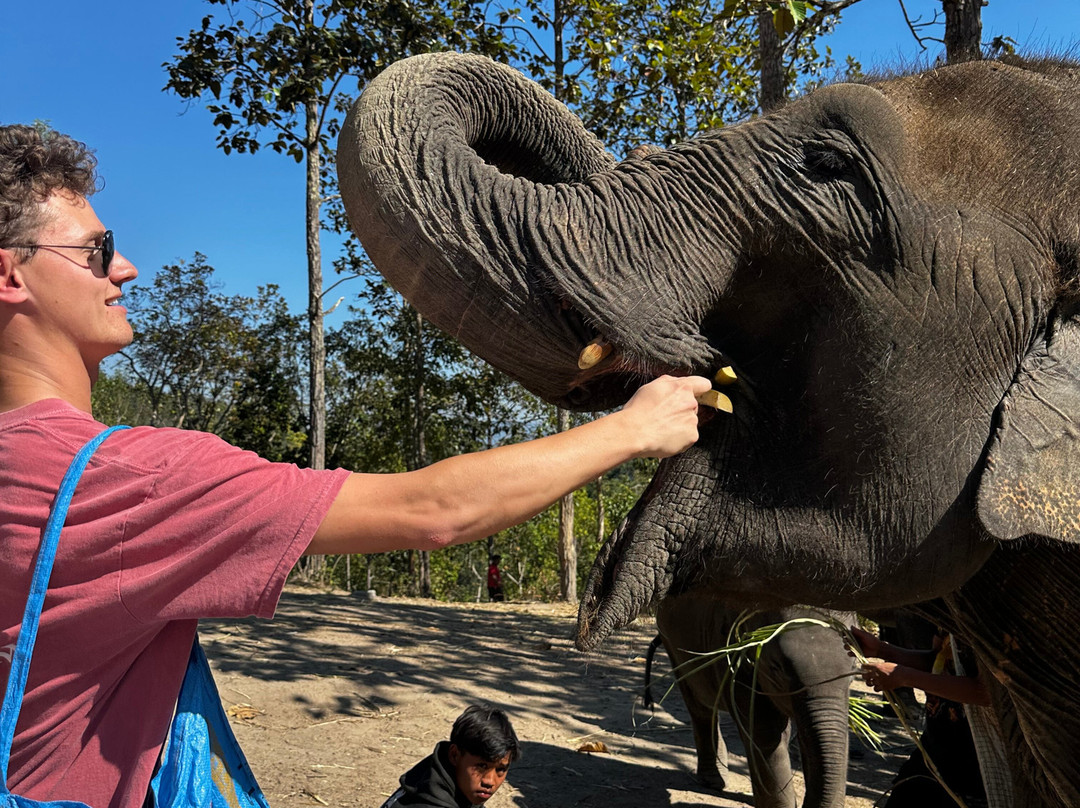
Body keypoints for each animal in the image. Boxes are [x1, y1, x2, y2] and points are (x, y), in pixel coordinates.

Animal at [643, 596, 855, 808]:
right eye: (776, 668)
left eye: (854, 667)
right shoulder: (734, 657)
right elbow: (766, 733)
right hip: (671, 644)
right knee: (698, 704)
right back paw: (713, 781)